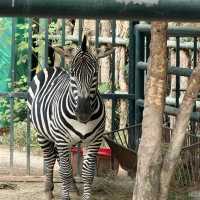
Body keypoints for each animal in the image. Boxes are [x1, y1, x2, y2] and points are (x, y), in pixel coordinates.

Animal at [26, 36, 109, 200]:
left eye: (95, 74)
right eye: (73, 74)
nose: (83, 114)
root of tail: (53, 68)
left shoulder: (95, 140)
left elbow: (87, 173)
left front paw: (85, 196)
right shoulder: (62, 138)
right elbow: (64, 172)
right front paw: (64, 196)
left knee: (60, 158)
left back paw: (73, 188)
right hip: (42, 134)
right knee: (50, 159)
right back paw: (48, 190)